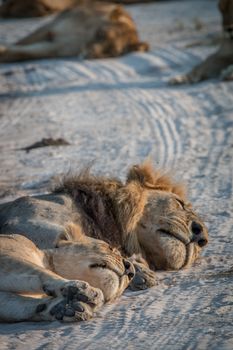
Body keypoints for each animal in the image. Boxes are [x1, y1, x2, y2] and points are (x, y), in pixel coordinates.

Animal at [0, 1, 148, 62]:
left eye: (110, 52)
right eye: (101, 34)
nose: (88, 54)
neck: (82, 36)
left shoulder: (55, 47)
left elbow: (22, 53)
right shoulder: (50, 29)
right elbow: (22, 43)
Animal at [0, 223, 135, 322]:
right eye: (110, 248)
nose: (131, 271)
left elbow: (16, 304)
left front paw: (65, 308)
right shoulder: (6, 254)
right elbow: (38, 272)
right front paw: (83, 290)